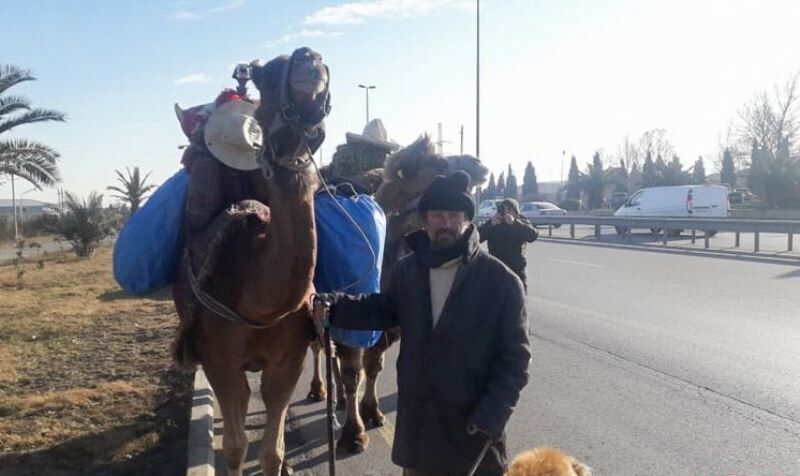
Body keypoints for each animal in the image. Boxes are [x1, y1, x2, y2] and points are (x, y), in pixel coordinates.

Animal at [172, 49, 332, 476]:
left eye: (326, 62)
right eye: (269, 73)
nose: (310, 58)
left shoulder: (289, 358)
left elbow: (272, 449)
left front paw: (283, 461)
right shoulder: (218, 360)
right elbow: (235, 446)